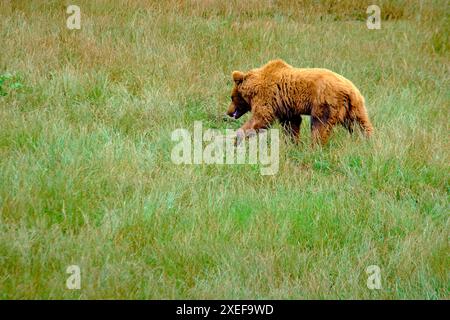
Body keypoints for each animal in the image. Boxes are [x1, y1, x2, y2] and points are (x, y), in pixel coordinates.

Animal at [225, 59, 372, 145]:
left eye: (232, 97)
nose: (229, 112)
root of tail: (350, 90)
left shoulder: (268, 96)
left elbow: (261, 118)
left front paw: (236, 139)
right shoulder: (285, 105)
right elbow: (291, 123)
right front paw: (292, 142)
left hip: (325, 102)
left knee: (320, 125)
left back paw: (316, 146)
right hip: (355, 108)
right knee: (361, 125)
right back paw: (368, 142)